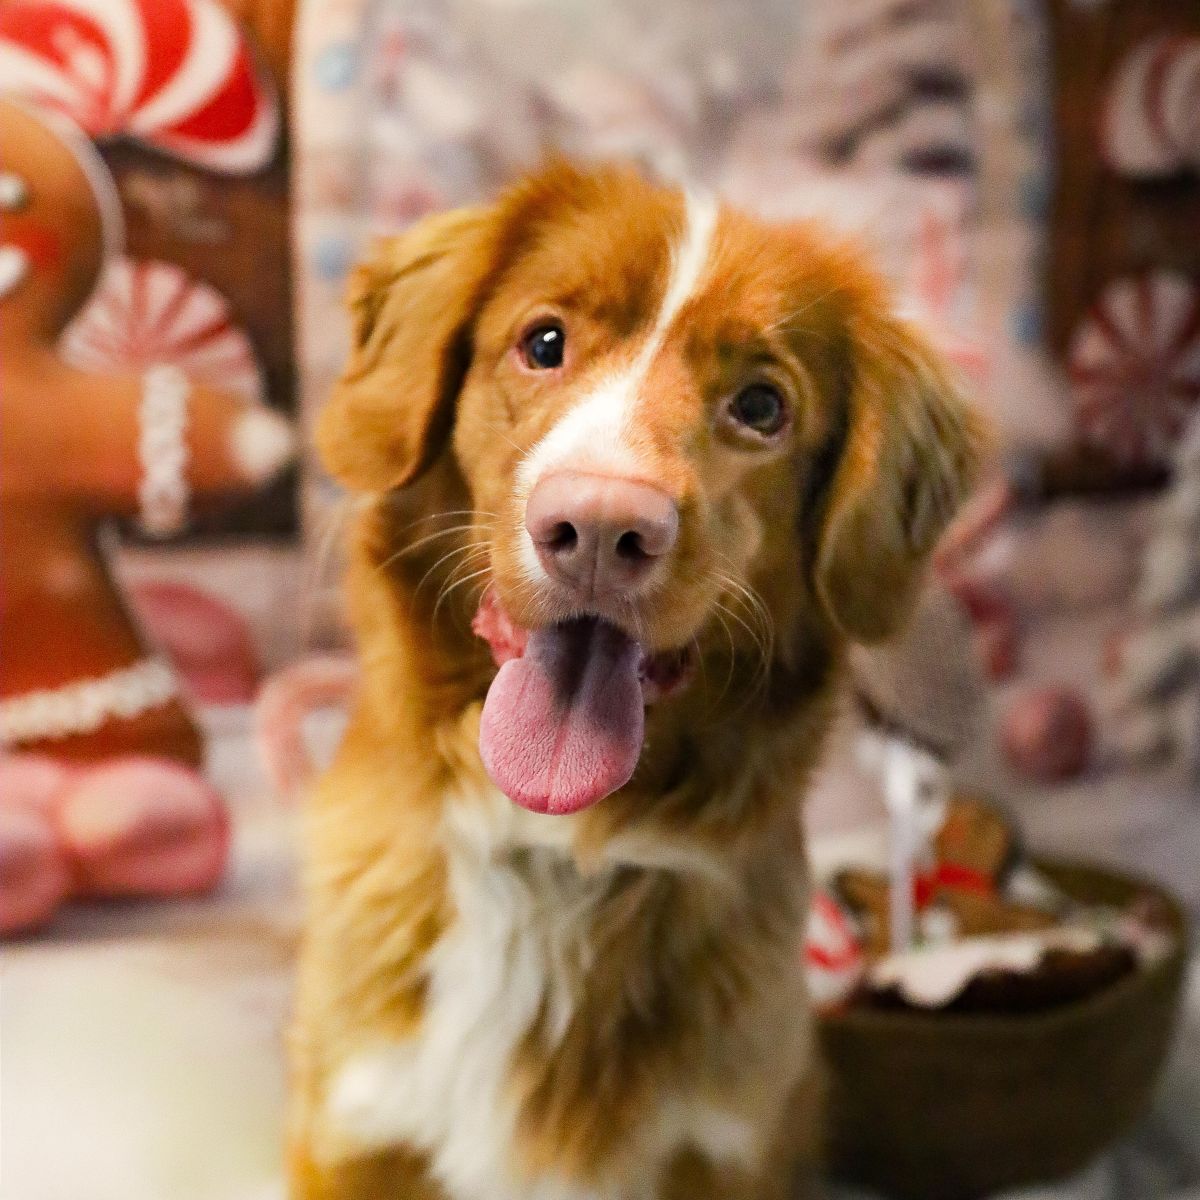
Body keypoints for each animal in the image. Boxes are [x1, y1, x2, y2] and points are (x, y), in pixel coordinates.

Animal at [288, 161, 982, 1200]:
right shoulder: (356, 1133)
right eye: (543, 343)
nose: (601, 528)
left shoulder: (730, 1149)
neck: (562, 853)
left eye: (761, 407)